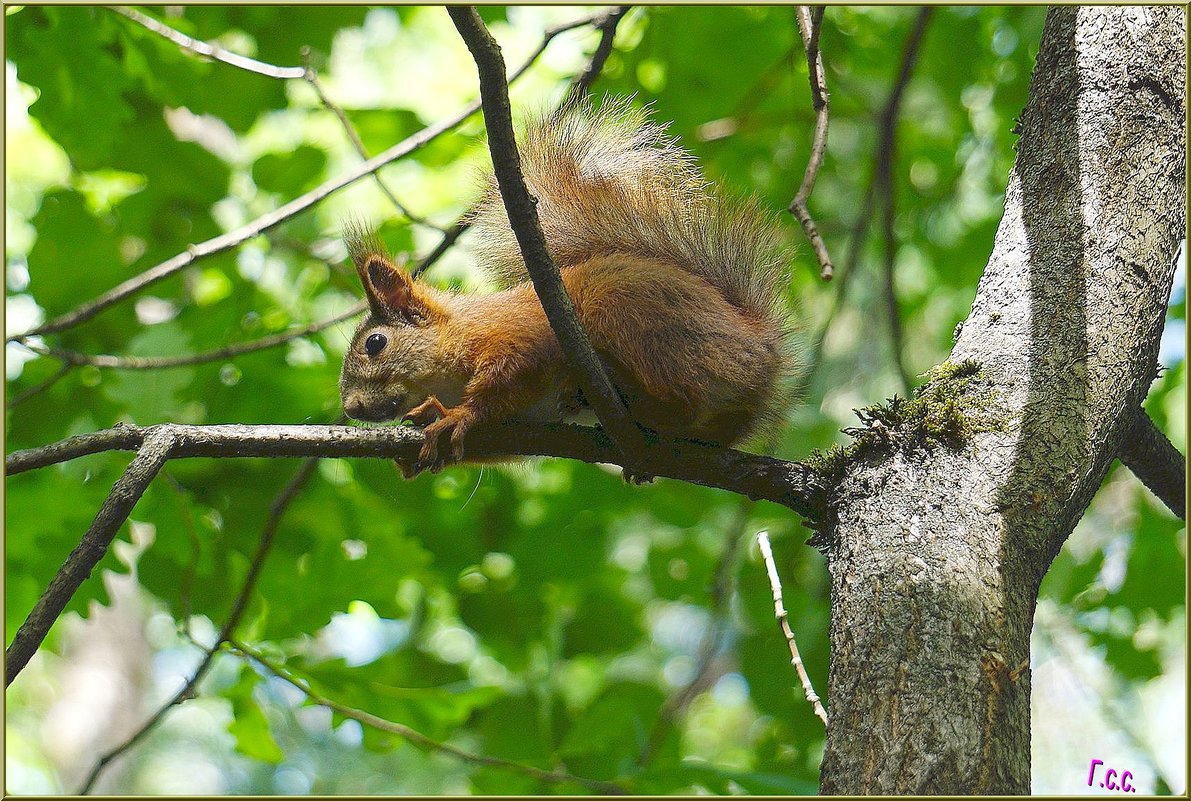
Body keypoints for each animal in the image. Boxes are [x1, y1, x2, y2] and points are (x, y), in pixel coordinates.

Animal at [338, 99, 800, 476]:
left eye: (375, 343)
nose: (350, 408)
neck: (456, 336)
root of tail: (759, 348)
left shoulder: (518, 335)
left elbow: (506, 378)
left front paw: (456, 415)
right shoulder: (527, 422)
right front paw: (419, 447)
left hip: (630, 315)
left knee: (682, 398)